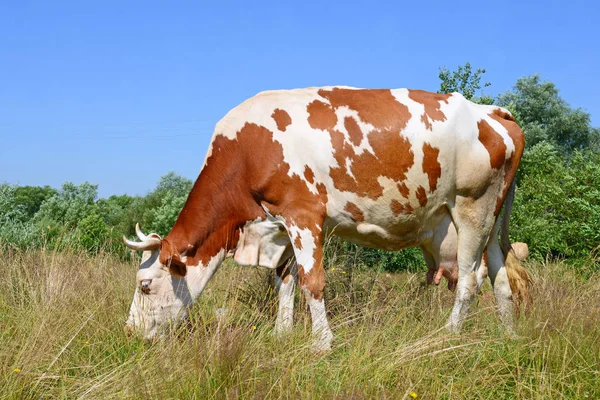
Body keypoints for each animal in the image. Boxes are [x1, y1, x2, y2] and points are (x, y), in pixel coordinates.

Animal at [124, 87, 528, 350]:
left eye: (145, 285)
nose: (128, 332)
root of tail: (491, 111)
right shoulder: (281, 225)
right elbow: (284, 282)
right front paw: (281, 335)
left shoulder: (304, 214)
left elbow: (312, 282)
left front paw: (321, 343)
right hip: (490, 221)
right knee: (499, 278)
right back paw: (508, 335)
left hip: (472, 210)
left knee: (470, 280)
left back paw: (449, 334)